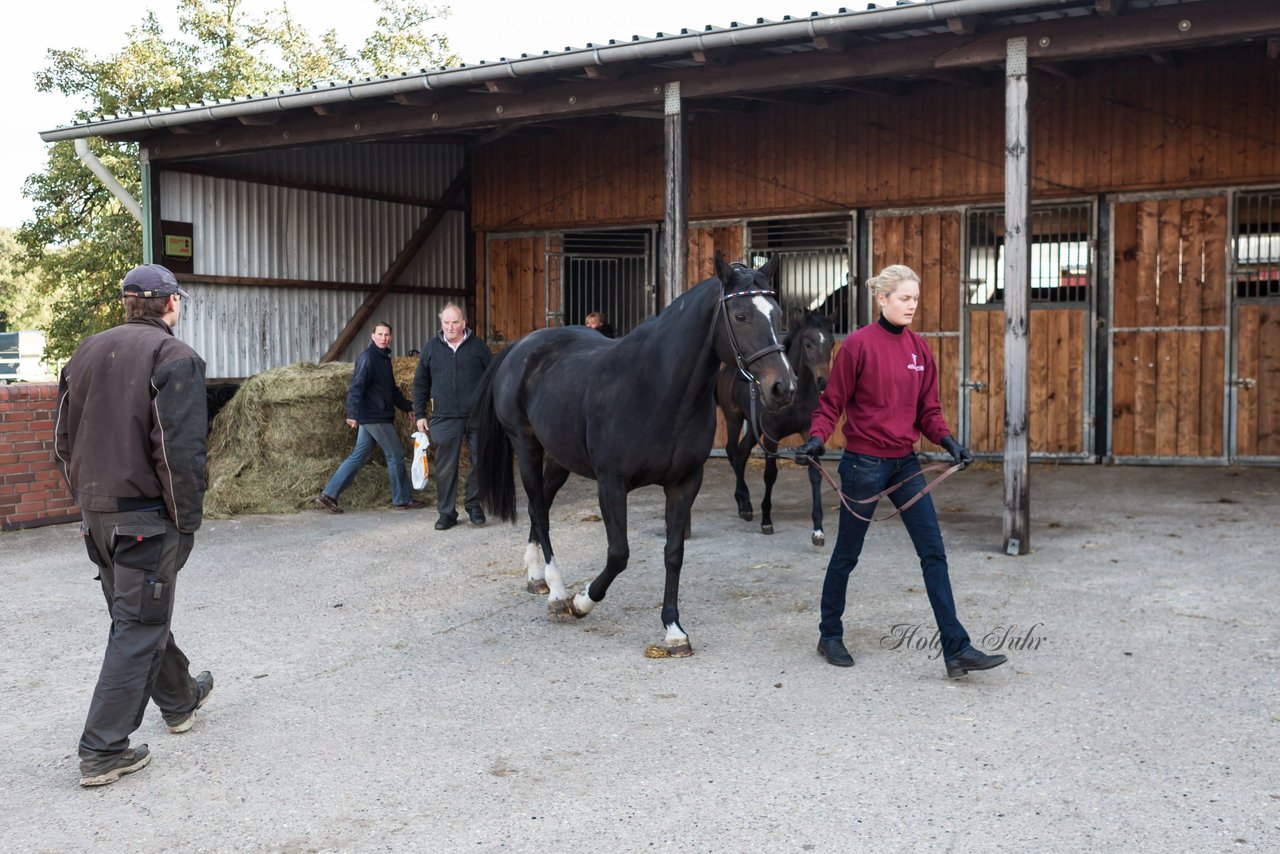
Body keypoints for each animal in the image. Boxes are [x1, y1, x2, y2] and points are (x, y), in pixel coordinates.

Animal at [471, 253, 793, 655]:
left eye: (777, 314)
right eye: (740, 315)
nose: (783, 387)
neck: (656, 388)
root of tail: (520, 347)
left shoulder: (685, 483)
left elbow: (674, 553)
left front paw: (674, 630)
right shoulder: (611, 484)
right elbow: (618, 554)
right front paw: (582, 601)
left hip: (560, 458)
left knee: (538, 505)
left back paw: (536, 576)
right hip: (526, 446)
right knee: (539, 511)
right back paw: (558, 593)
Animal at [716, 311, 834, 545]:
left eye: (832, 343)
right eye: (808, 343)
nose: (822, 381)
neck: (796, 396)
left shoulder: (808, 431)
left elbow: (815, 474)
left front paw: (818, 530)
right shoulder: (771, 435)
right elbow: (770, 474)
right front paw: (766, 520)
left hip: (754, 427)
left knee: (742, 453)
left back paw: (744, 503)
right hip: (734, 418)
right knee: (732, 451)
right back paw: (745, 504)